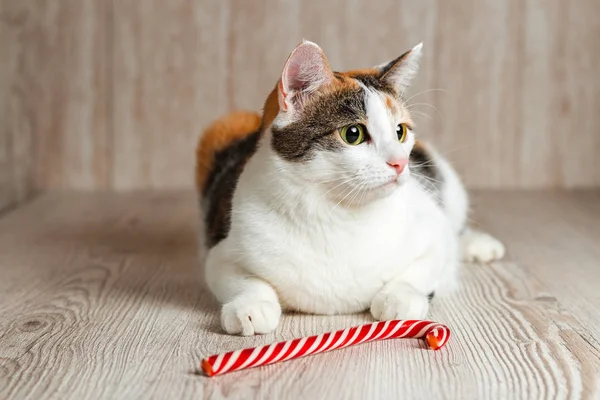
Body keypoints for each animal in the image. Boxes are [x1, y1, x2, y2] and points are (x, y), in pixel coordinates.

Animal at [195, 40, 504, 336]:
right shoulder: (220, 251)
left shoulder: (434, 233)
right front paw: (250, 307)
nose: (401, 163)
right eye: (352, 134)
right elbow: (241, 279)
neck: (340, 217)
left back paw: (478, 245)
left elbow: (428, 263)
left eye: (400, 131)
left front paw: (399, 298)